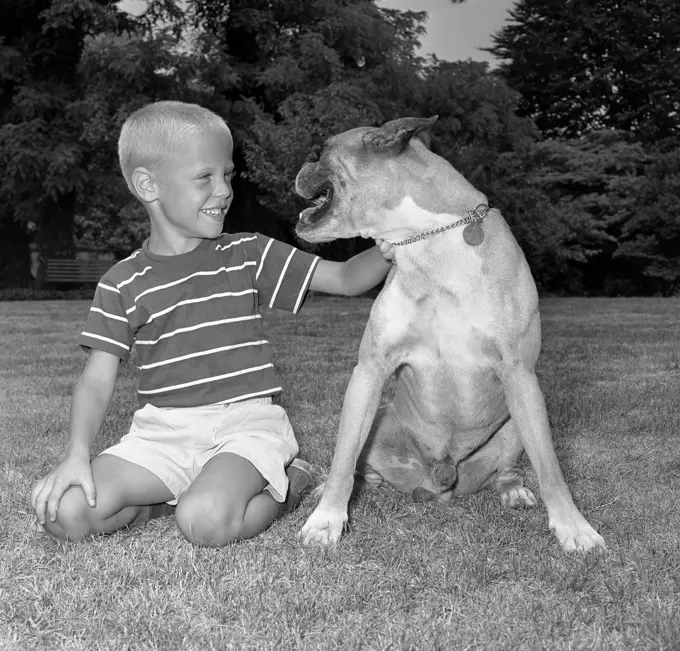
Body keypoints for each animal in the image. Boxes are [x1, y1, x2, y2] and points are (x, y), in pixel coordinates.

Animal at [294, 114, 604, 552]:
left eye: (321, 150)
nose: (302, 166)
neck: (430, 242)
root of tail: (439, 479)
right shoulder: (369, 371)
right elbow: (343, 456)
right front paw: (326, 520)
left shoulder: (519, 373)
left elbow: (550, 466)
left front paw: (574, 527)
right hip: (381, 416)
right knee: (359, 464)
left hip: (515, 423)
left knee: (511, 468)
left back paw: (514, 490)